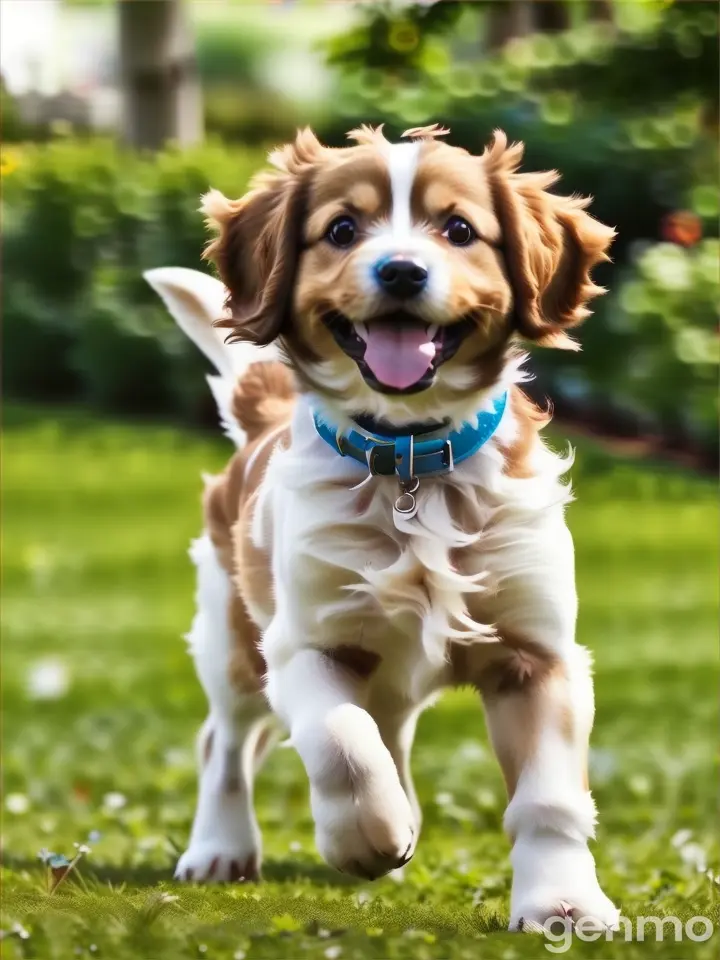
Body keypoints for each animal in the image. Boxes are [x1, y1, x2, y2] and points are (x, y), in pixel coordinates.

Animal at [146, 124, 620, 932]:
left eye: (458, 229)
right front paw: (364, 835)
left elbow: (548, 798)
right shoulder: (306, 642)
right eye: (342, 229)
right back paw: (220, 848)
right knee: (227, 743)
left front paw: (561, 902)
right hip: (233, 642)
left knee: (386, 728)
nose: (400, 271)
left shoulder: (538, 654)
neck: (410, 461)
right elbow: (339, 741)